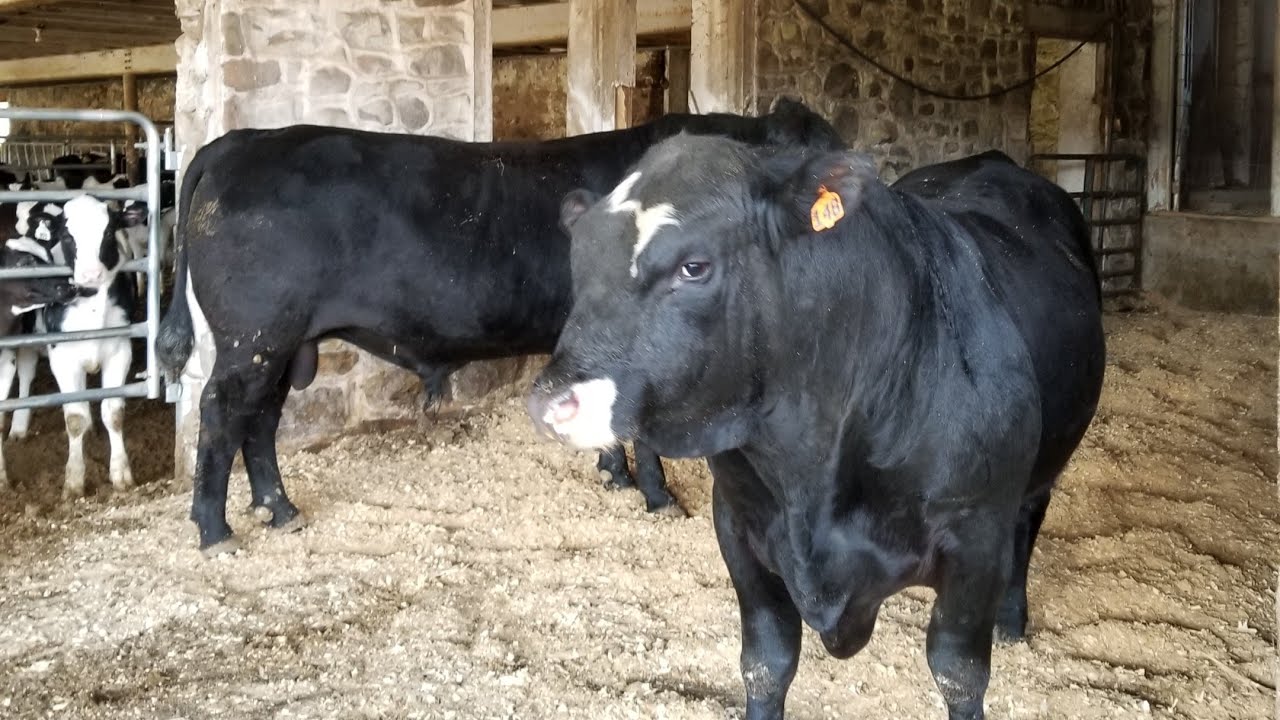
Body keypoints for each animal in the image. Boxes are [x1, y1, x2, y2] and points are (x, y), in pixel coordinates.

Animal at [155, 100, 846, 556]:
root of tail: (244, 139)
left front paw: (614, 474)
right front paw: (657, 496)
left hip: (280, 343)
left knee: (261, 419)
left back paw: (279, 509)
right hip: (254, 338)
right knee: (222, 413)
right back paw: (215, 531)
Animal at [526, 135, 1106, 720]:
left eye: (693, 267)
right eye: (580, 259)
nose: (551, 403)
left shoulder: (977, 537)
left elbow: (959, 674)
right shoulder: (736, 522)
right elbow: (767, 662)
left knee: (1029, 520)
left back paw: (1011, 618)